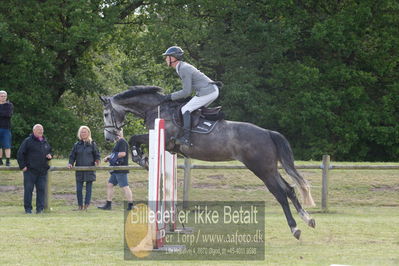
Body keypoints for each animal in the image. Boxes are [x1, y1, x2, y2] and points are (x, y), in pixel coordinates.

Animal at [101, 84, 318, 239]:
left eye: (105, 114)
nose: (109, 138)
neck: (157, 109)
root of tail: (268, 133)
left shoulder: (164, 137)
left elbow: (134, 139)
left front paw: (141, 158)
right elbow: (135, 140)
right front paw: (143, 158)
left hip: (261, 169)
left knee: (280, 193)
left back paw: (295, 228)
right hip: (270, 168)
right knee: (289, 189)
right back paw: (308, 220)